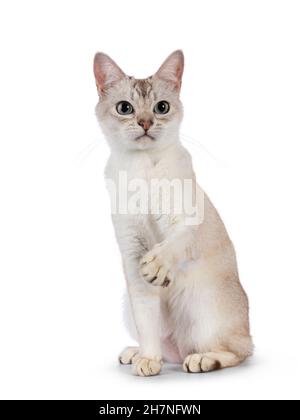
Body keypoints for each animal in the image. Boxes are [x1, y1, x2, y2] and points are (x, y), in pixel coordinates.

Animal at [93, 50, 253, 376]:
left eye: (161, 107)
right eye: (125, 108)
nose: (145, 122)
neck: (141, 168)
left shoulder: (186, 222)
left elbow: (172, 245)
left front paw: (157, 267)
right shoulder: (131, 253)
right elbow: (147, 323)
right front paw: (148, 361)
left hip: (204, 307)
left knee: (238, 351)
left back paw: (203, 359)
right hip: (129, 303)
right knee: (169, 350)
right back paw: (137, 354)